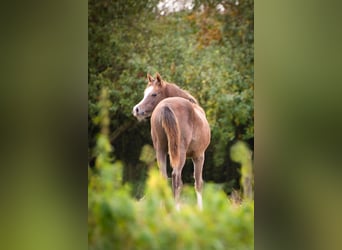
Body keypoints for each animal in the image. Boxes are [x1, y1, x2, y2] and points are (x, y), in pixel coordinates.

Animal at [134, 73, 211, 210]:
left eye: (153, 94)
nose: (137, 109)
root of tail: (165, 106)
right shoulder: (199, 156)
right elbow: (198, 183)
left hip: (160, 150)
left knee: (164, 177)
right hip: (180, 153)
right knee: (176, 178)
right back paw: (176, 209)